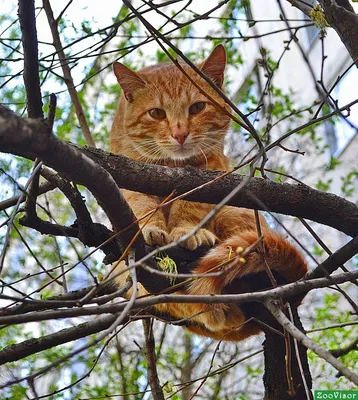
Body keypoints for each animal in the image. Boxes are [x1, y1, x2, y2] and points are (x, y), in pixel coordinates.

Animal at [110, 46, 308, 340]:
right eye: (156, 113)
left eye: (197, 107)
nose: (180, 133)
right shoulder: (130, 174)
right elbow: (142, 206)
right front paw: (149, 229)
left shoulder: (210, 173)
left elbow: (189, 205)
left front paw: (186, 231)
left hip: (235, 214)